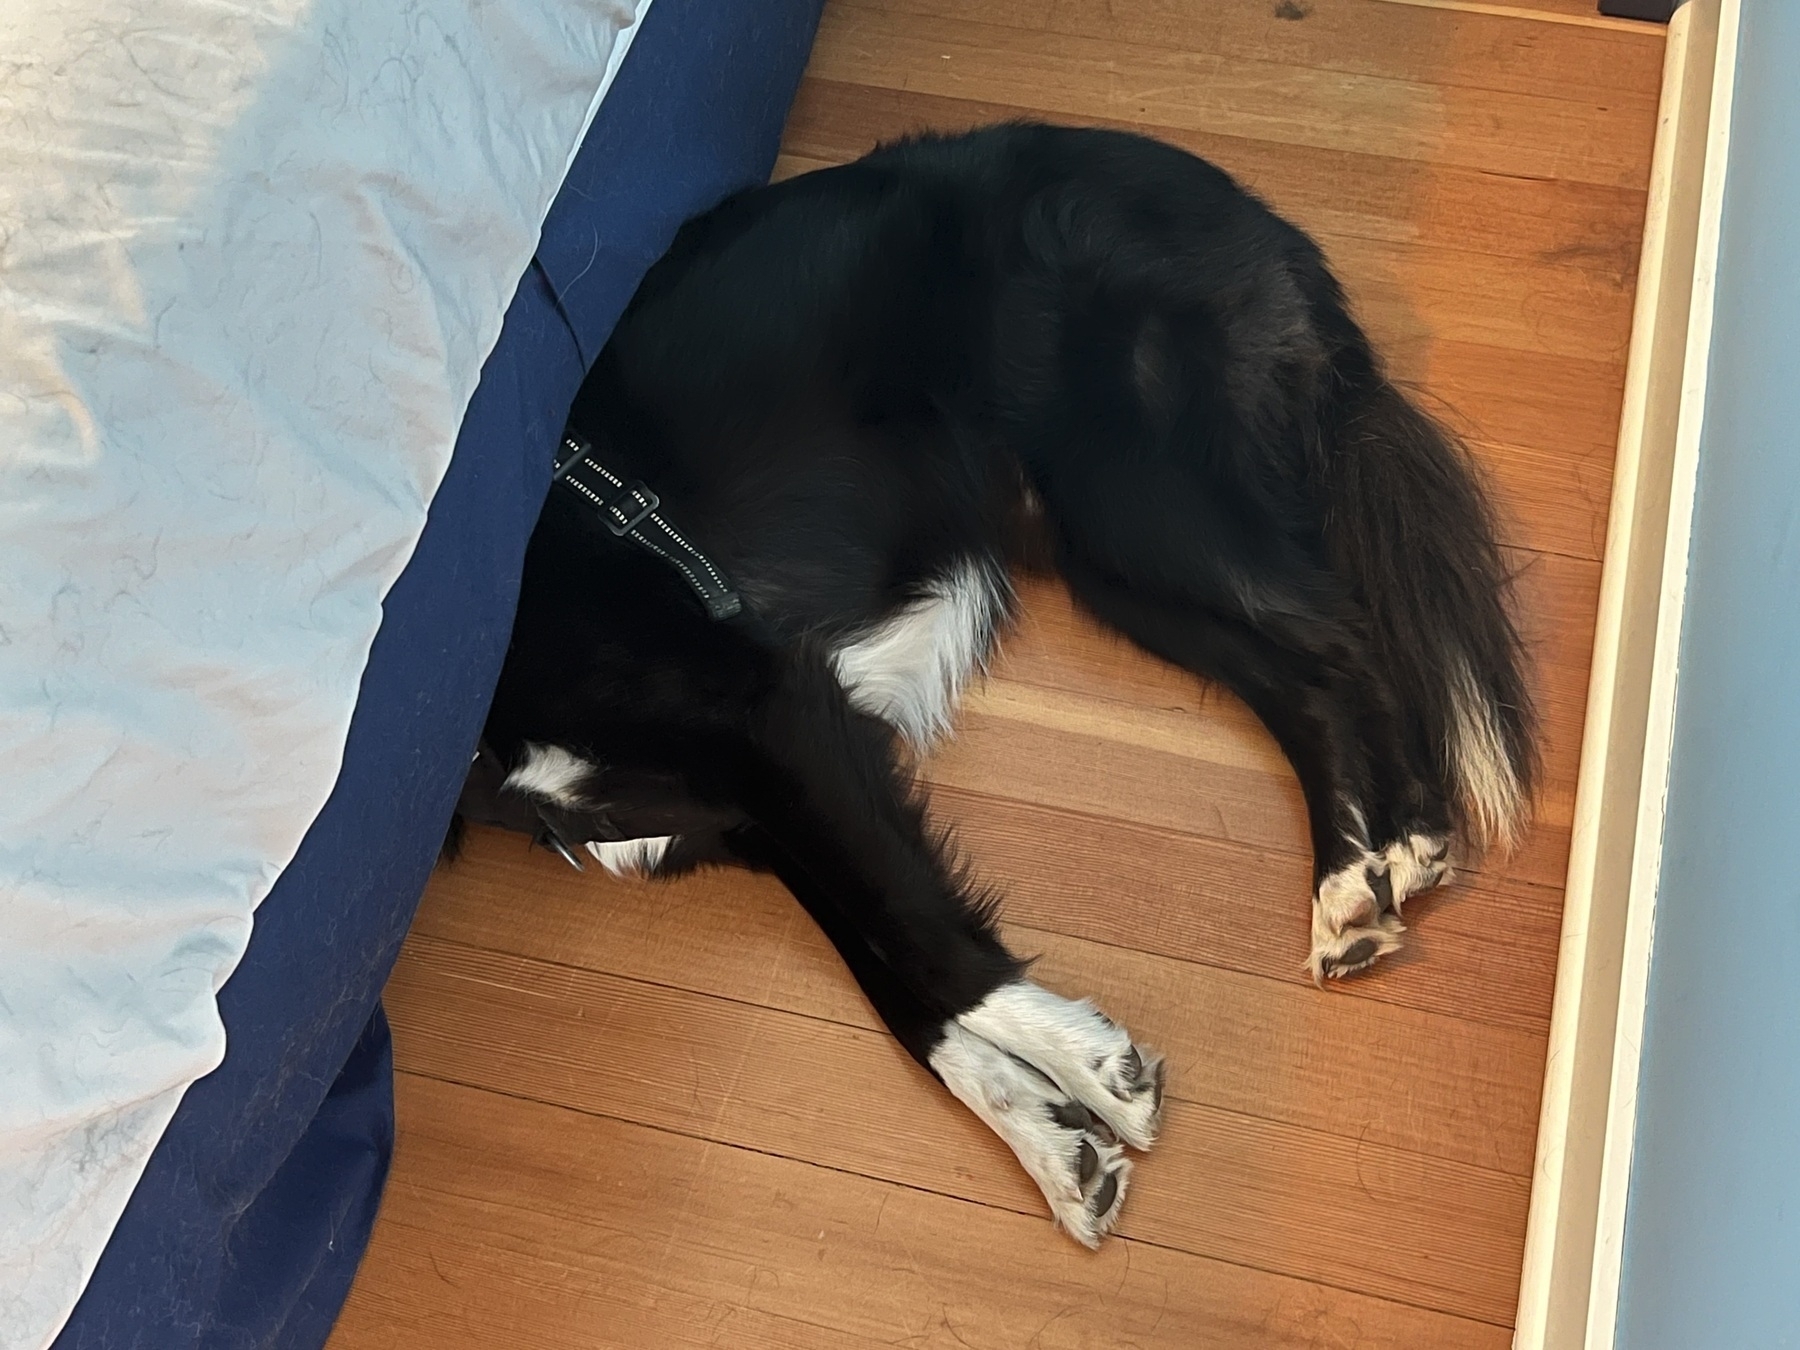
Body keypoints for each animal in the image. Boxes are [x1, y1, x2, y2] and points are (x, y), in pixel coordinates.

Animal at [450, 124, 1533, 1245]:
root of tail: (1248, 211)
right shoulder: (763, 805)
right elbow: (903, 993)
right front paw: (1052, 1142)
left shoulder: (778, 721)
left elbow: (922, 947)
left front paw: (1092, 1073)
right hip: (1109, 557)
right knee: (1302, 680)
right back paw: (1357, 877)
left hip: (1138, 499)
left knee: (1345, 637)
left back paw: (1398, 845)